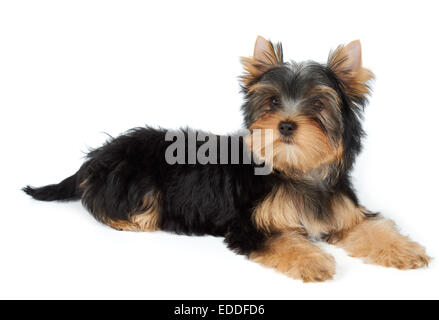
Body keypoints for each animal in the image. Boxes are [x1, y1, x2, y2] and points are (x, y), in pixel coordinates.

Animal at [23, 37, 430, 282]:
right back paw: (127, 220)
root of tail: (98, 157)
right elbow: (283, 240)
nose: (285, 124)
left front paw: (405, 250)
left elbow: (370, 226)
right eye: (271, 102)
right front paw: (312, 260)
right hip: (136, 178)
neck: (296, 170)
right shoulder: (250, 224)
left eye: (317, 104)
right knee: (107, 203)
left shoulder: (341, 210)